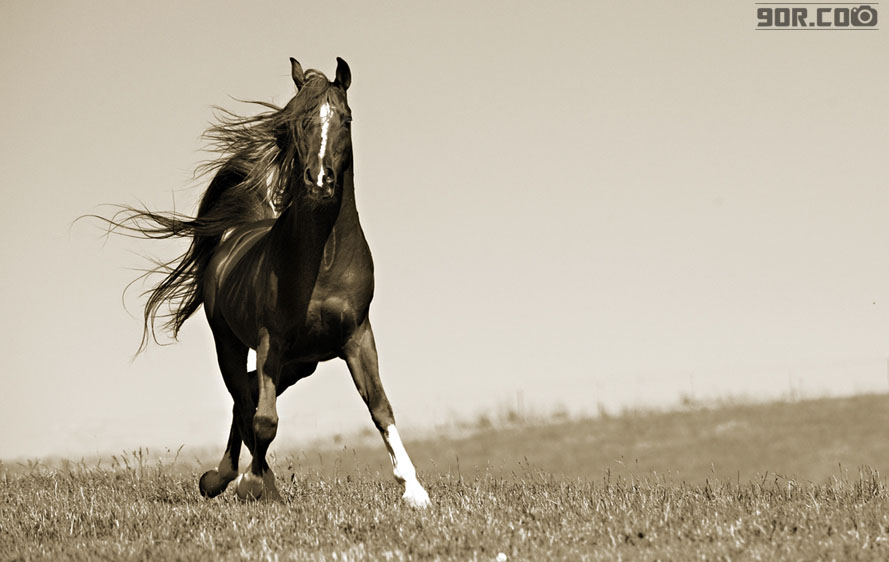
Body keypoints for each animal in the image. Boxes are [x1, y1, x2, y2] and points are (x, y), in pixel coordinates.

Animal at [97, 58, 430, 508]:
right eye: (299, 121)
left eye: (345, 119)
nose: (320, 180)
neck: (322, 259)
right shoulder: (272, 339)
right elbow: (266, 421)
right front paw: (255, 482)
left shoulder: (358, 336)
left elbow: (380, 406)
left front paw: (414, 490)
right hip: (231, 345)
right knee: (245, 401)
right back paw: (230, 479)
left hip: (302, 363)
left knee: (249, 396)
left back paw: (225, 476)